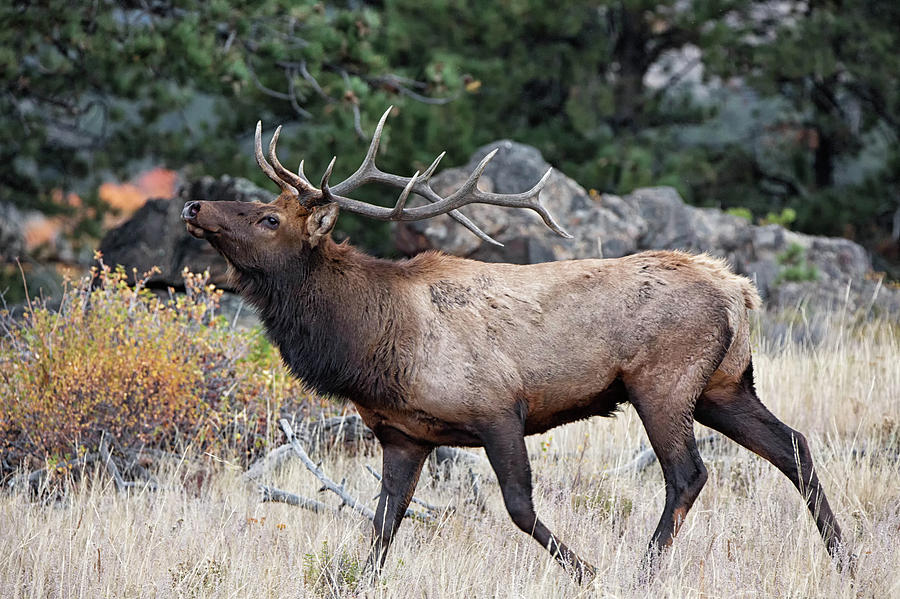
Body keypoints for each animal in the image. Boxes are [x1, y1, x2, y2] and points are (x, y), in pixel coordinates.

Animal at [185, 108, 852, 584]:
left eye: (270, 219)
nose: (193, 203)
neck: (373, 345)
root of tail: (741, 291)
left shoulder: (498, 406)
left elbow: (518, 506)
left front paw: (588, 572)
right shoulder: (403, 434)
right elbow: (382, 526)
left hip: (663, 381)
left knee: (688, 474)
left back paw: (640, 573)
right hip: (723, 384)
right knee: (793, 445)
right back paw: (845, 558)